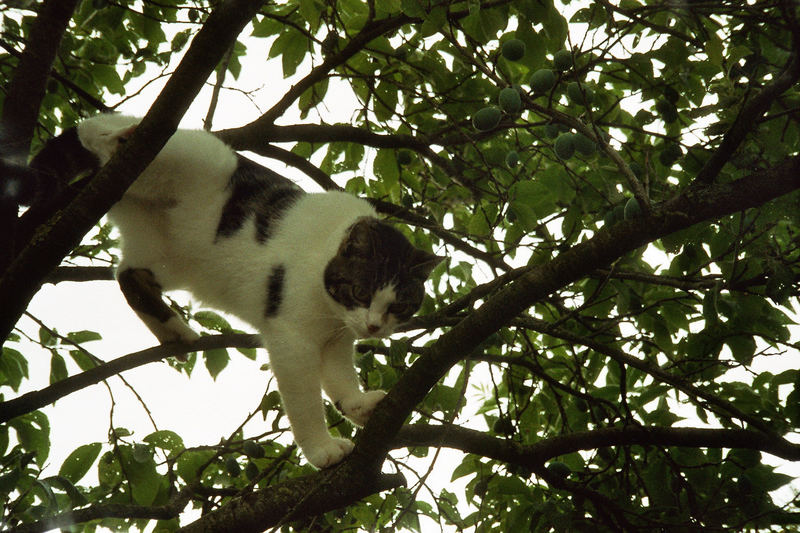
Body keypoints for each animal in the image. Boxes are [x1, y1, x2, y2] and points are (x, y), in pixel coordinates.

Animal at [29, 114, 444, 468]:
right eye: (359, 291)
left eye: (399, 306)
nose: (374, 327)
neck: (330, 309)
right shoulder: (292, 339)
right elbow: (305, 401)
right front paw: (322, 450)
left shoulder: (335, 339)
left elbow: (339, 378)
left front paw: (358, 406)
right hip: (198, 157)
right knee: (97, 133)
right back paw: (118, 139)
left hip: (172, 260)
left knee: (127, 275)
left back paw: (175, 330)